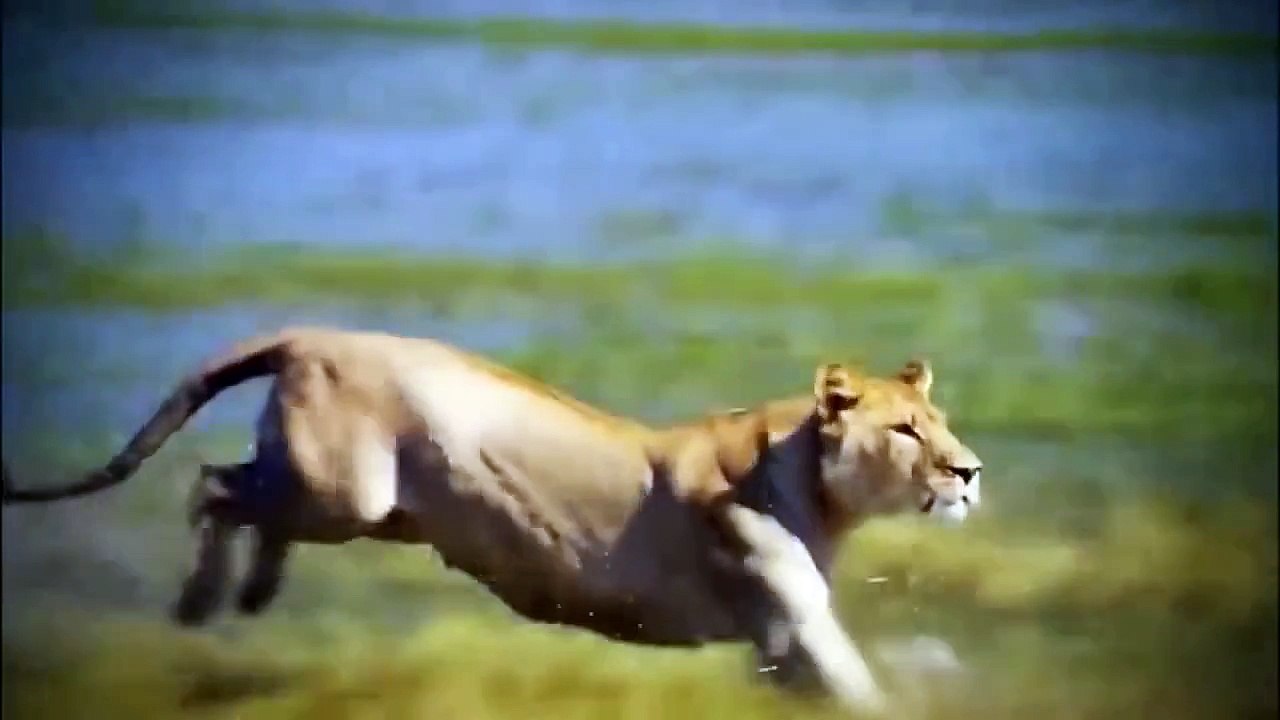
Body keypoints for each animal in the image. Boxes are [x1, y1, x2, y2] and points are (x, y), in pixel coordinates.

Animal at [2, 327, 982, 716]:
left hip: (365, 508)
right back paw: (203, 602)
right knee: (210, 486)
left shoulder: (775, 642)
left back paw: (251, 594)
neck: (817, 484)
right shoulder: (790, 620)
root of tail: (310, 335)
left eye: (940, 421)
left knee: (236, 489)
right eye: (906, 429)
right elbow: (859, 688)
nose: (969, 471)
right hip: (346, 493)